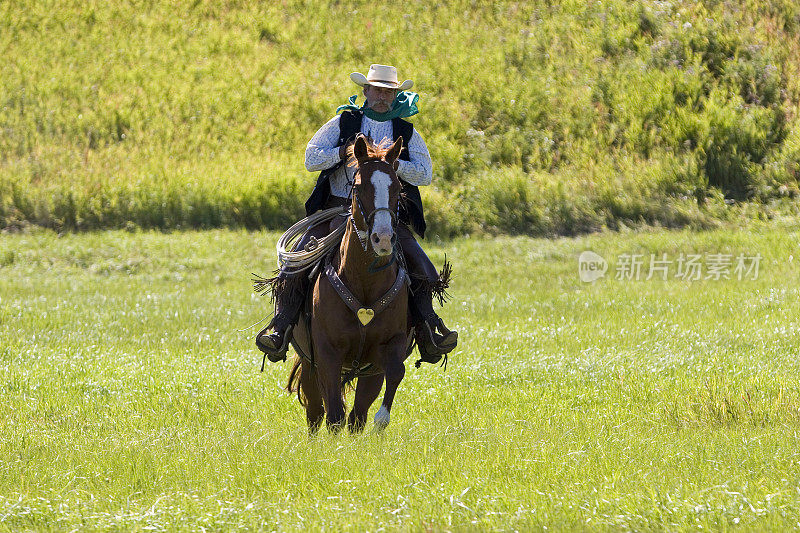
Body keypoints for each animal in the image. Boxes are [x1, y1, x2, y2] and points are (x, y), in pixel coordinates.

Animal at [288, 134, 412, 432]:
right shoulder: (327, 356)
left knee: (357, 416)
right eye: (358, 187)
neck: (364, 283)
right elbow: (333, 414)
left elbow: (396, 372)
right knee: (316, 413)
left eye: (397, 187)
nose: (383, 238)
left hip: (367, 372)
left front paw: (382, 419)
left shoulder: (389, 347)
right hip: (309, 365)